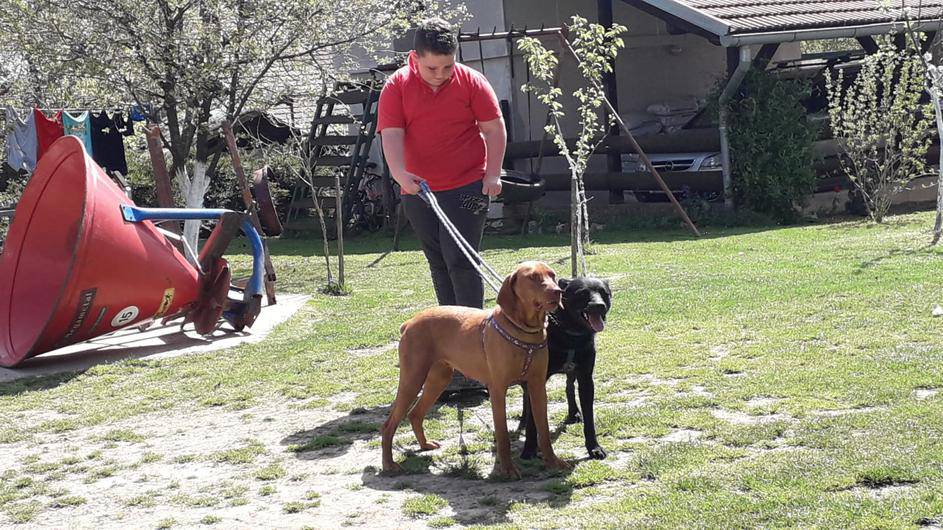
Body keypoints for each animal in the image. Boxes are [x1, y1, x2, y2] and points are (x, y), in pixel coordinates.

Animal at [380, 260, 572, 478]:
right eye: (533, 277)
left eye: (552, 275)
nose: (558, 291)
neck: (525, 331)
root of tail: (409, 322)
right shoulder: (497, 390)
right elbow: (502, 434)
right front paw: (507, 469)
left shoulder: (537, 386)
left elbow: (544, 430)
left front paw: (553, 462)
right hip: (412, 379)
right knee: (388, 425)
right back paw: (388, 463)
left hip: (438, 379)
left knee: (415, 414)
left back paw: (424, 445)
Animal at [516, 276, 612, 458]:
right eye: (582, 293)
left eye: (605, 293)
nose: (599, 305)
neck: (570, 334)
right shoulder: (536, 379)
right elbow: (533, 421)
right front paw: (529, 448)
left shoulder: (586, 378)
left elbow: (589, 418)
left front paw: (594, 447)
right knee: (526, 396)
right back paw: (524, 419)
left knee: (569, 387)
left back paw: (573, 413)